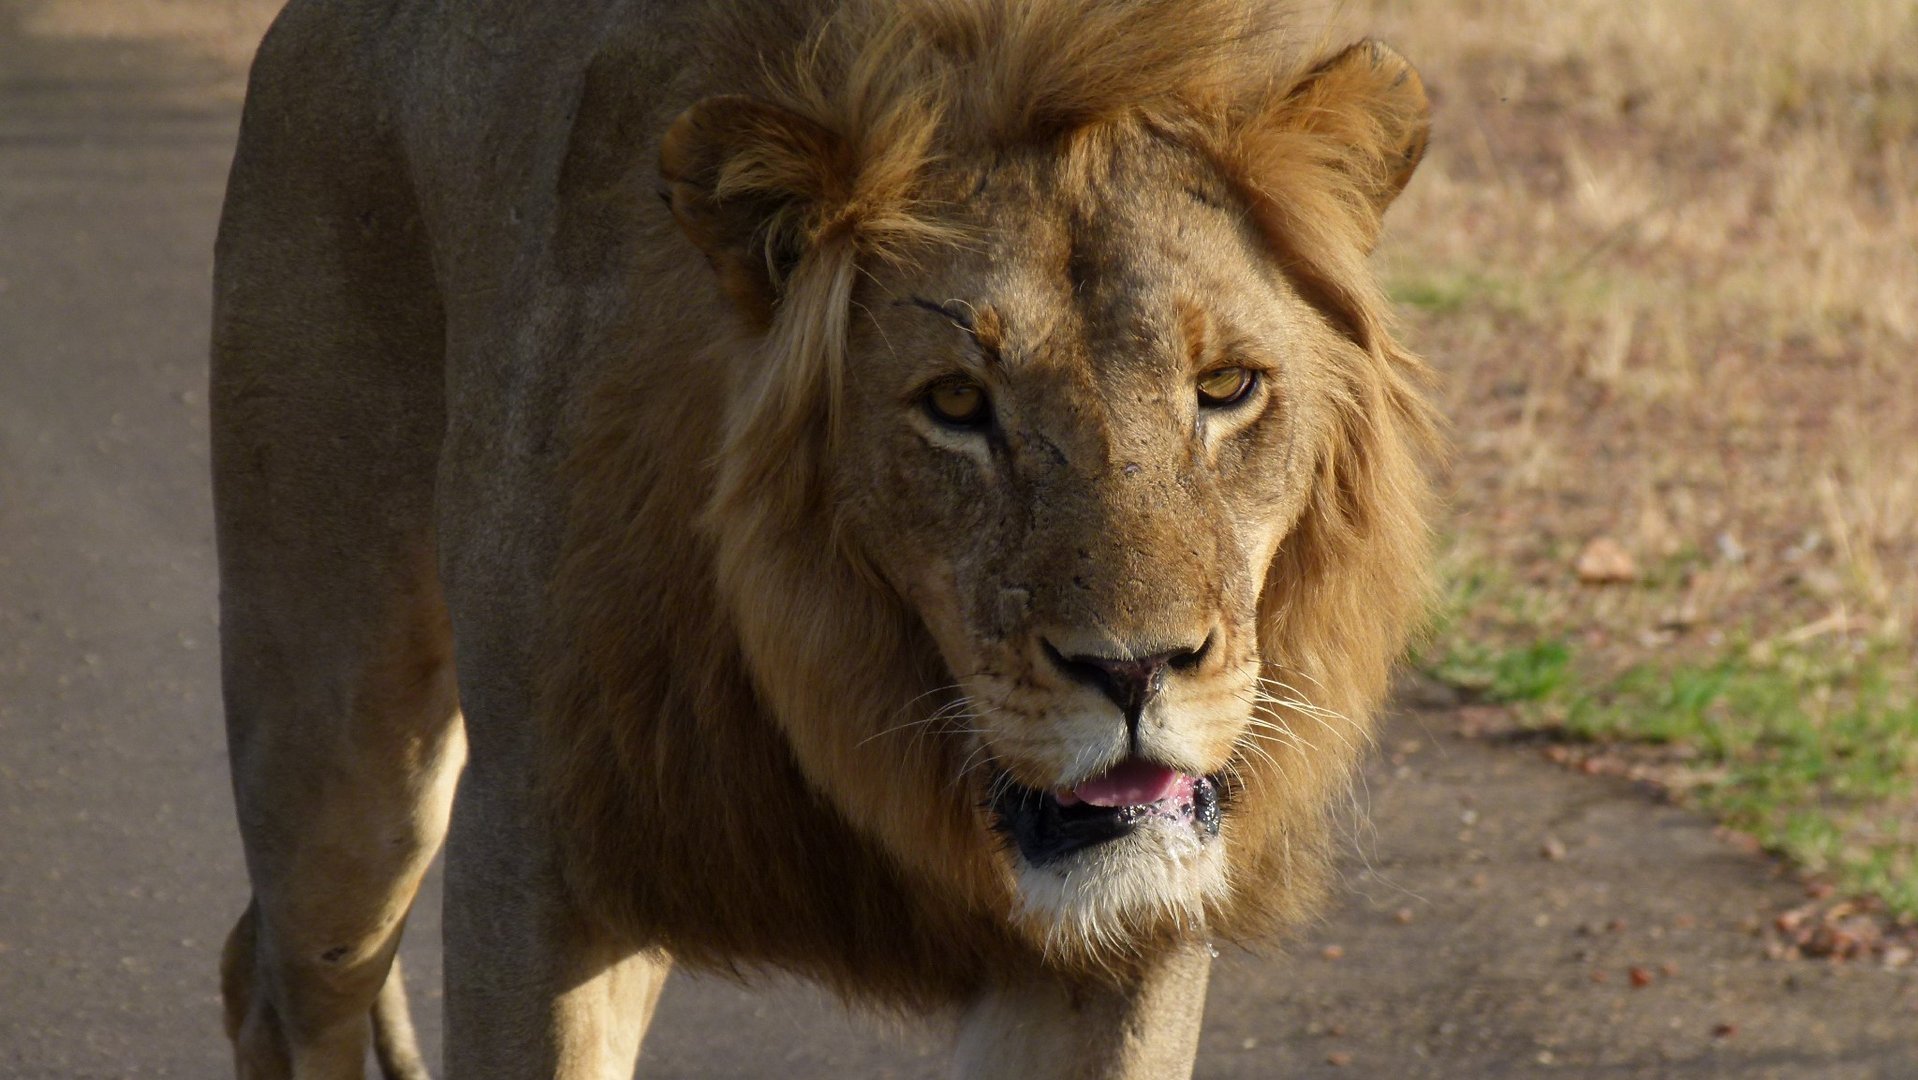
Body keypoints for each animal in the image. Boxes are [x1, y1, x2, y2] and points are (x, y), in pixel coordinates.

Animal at [217, 0, 1434, 1074]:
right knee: (279, 984)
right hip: (341, 732)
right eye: (956, 405)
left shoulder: (1123, 939)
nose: (1134, 670)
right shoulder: (534, 862)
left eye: (1225, 387)